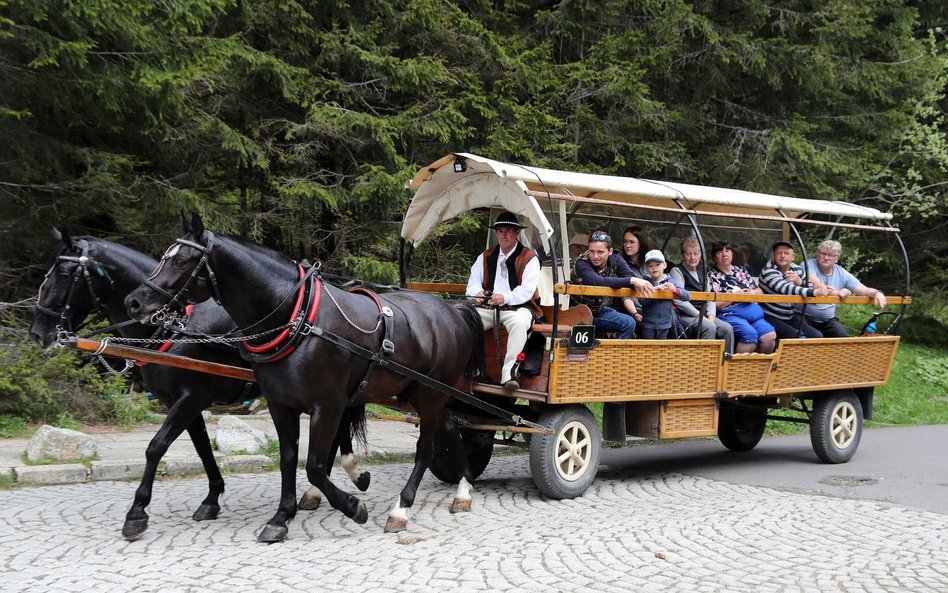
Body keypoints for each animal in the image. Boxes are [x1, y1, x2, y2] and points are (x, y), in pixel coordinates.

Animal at [30, 229, 370, 540]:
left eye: (64, 274)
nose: (37, 332)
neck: (176, 328)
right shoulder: (184, 402)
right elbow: (203, 449)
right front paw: (212, 497)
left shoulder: (192, 397)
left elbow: (156, 446)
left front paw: (137, 512)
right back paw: (326, 487)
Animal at [126, 214, 482, 540]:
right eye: (165, 255)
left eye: (181, 259)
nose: (135, 301)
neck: (298, 317)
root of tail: (451, 310)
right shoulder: (280, 404)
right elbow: (289, 459)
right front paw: (281, 517)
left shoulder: (327, 404)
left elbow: (313, 465)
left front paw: (353, 507)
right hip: (419, 392)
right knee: (449, 428)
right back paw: (463, 489)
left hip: (432, 393)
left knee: (425, 448)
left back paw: (403, 508)